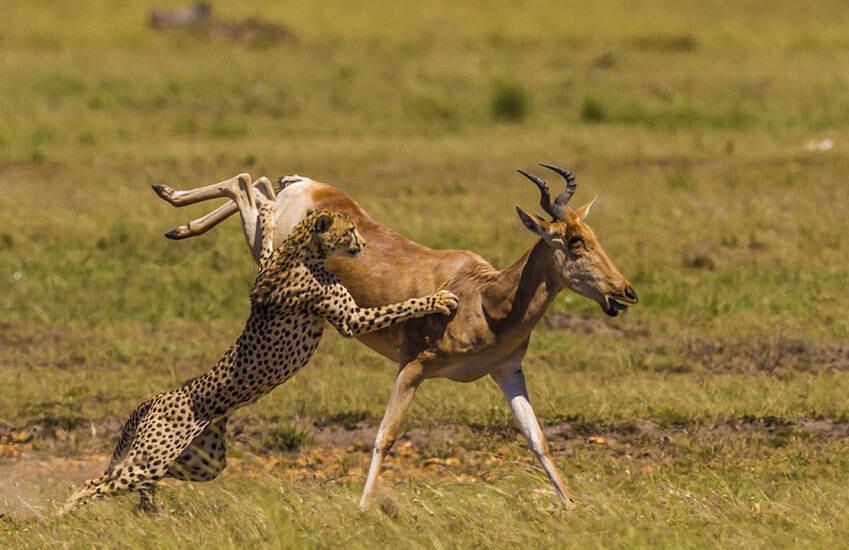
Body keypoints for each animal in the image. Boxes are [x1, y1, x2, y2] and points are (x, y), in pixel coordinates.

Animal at [60, 198, 460, 516]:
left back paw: (146, 506)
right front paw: (438, 299)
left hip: (202, 461)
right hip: (154, 458)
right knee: (96, 483)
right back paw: (62, 514)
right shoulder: (351, 320)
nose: (362, 244)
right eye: (350, 231)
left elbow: (266, 246)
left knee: (134, 479)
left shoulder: (266, 269)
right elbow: (399, 307)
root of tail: (158, 397)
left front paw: (266, 217)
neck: (305, 249)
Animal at [154, 166, 636, 512]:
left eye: (592, 235)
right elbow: (385, 435)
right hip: (267, 247)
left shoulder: (506, 371)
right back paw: (171, 202)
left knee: (255, 185)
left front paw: (571, 505)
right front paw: (365, 507)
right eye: (572, 241)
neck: (485, 297)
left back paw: (178, 219)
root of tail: (307, 186)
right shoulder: (414, 367)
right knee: (245, 187)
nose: (625, 293)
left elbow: (537, 439)